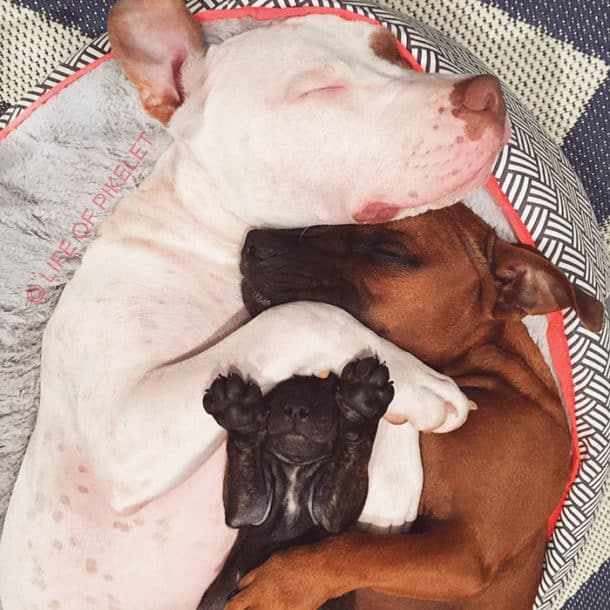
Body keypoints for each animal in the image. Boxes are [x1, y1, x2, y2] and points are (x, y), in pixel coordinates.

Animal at [199, 357, 393, 609]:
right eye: (276, 395)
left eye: (329, 390)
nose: (296, 408)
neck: (295, 470)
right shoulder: (247, 509)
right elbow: (244, 445)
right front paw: (238, 412)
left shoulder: (331, 513)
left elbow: (354, 443)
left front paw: (360, 403)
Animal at [231, 202, 605, 610]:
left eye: (389, 251)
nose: (254, 243)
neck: (480, 377)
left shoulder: (468, 552)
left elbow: (356, 550)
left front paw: (282, 587)